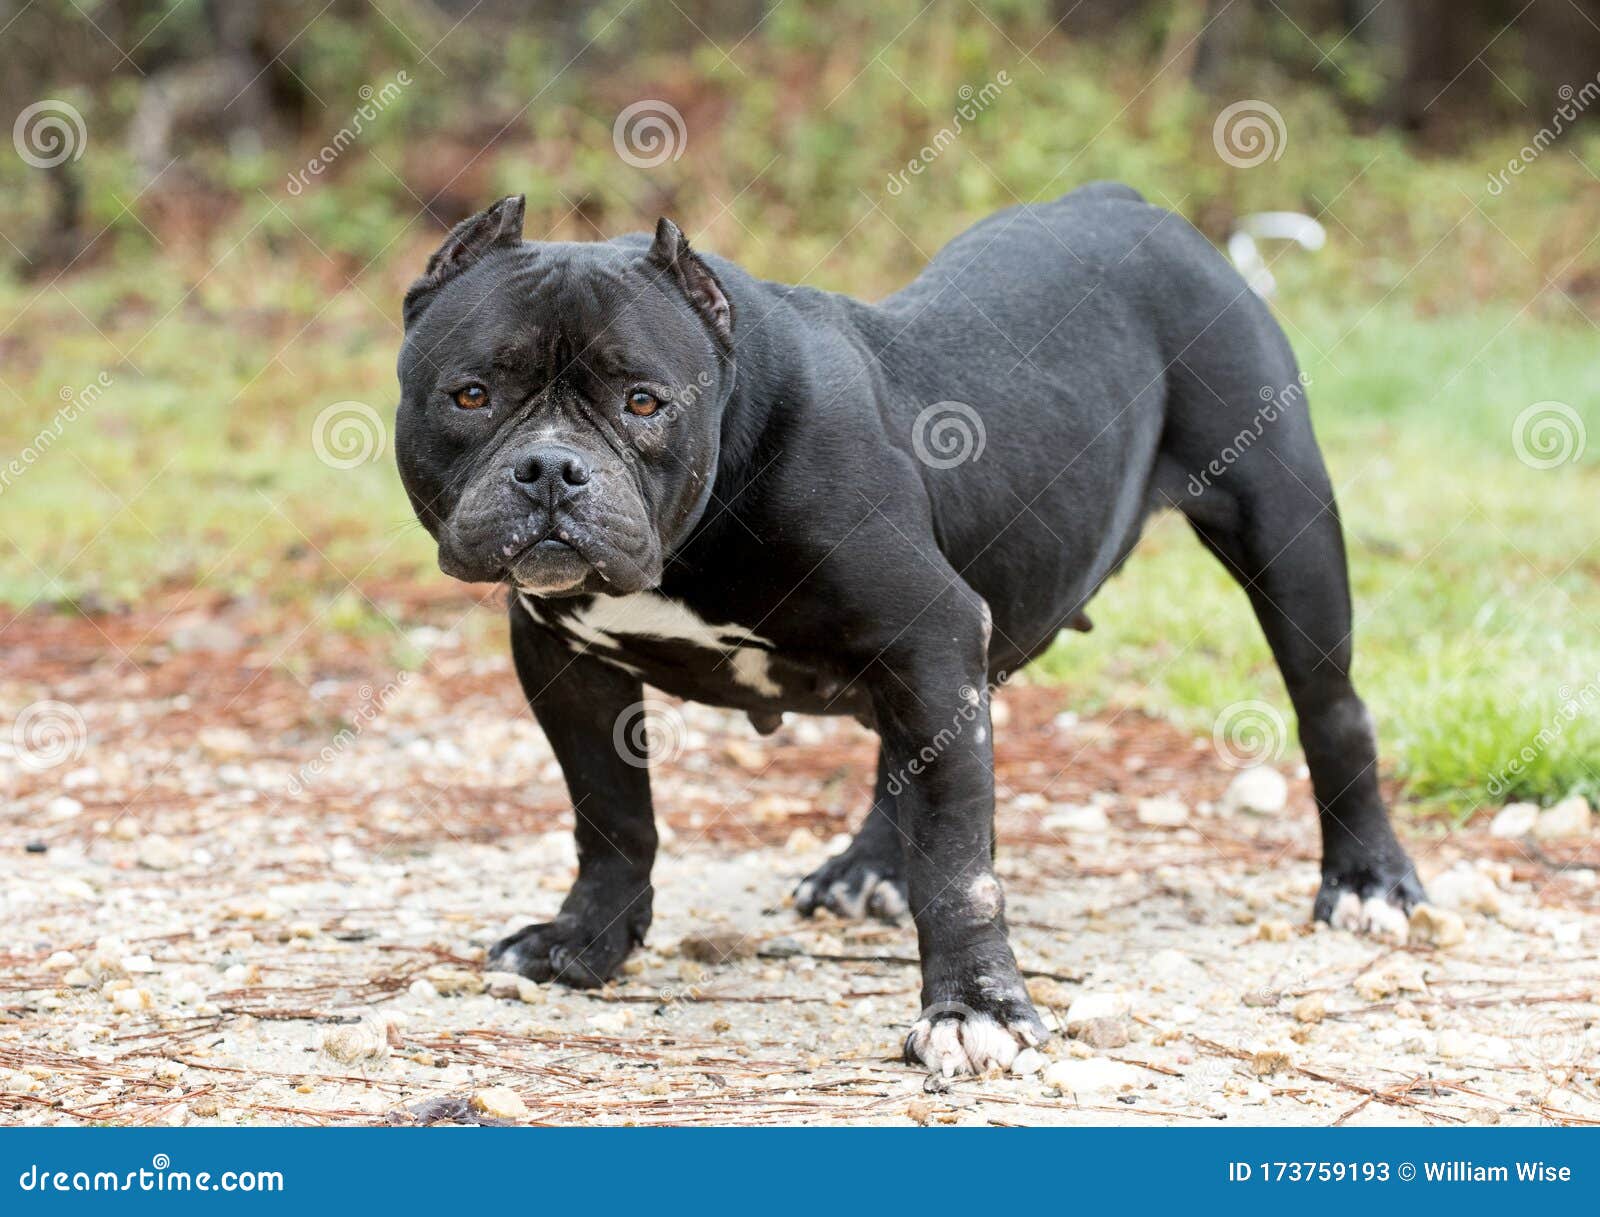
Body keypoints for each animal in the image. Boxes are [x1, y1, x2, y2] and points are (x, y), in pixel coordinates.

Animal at [390, 183, 1427, 1074]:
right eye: (471, 395)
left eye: (644, 402)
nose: (550, 468)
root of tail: (1131, 203)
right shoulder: (567, 660)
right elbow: (611, 814)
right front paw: (586, 939)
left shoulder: (928, 632)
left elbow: (962, 865)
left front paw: (974, 1009)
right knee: (910, 759)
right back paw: (865, 868)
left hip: (1286, 539)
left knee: (1332, 708)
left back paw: (1368, 880)